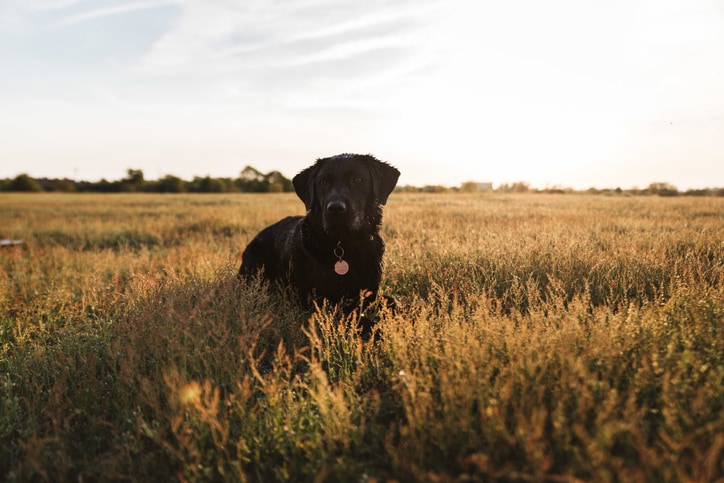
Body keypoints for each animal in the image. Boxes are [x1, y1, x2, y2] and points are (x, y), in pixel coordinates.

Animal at [238, 153, 398, 324]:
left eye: (358, 180)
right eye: (323, 182)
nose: (335, 208)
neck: (346, 245)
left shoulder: (370, 293)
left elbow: (394, 302)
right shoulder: (323, 302)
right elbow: (361, 320)